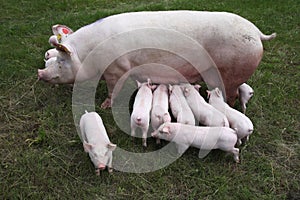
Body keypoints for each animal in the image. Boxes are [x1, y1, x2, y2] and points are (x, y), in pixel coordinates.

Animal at [38, 10, 276, 108]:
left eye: (61, 60)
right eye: (49, 56)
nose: (40, 72)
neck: (89, 54)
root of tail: (257, 33)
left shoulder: (116, 69)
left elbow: (114, 89)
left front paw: (105, 106)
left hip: (230, 71)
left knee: (231, 94)